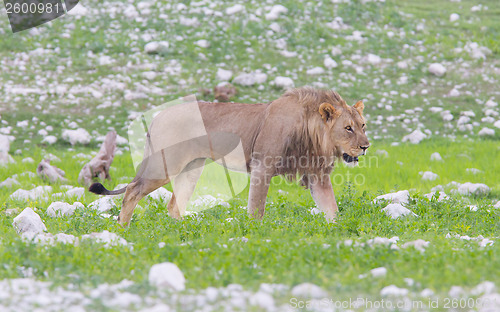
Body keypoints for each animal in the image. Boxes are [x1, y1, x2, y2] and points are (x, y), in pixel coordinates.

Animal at [89, 86, 372, 225]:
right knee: (132, 190)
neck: (313, 134)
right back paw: (122, 229)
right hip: (165, 165)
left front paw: (338, 234)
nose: (366, 146)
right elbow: (256, 208)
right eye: (348, 128)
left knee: (173, 204)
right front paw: (254, 233)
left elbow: (331, 209)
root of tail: (158, 116)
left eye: (363, 125)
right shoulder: (262, 167)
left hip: (192, 168)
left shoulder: (317, 175)